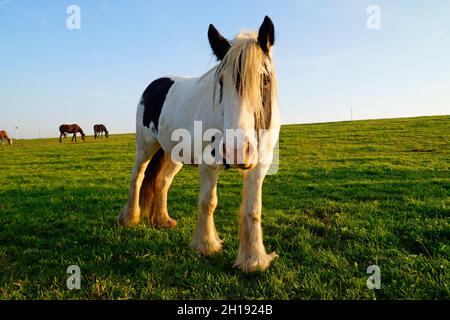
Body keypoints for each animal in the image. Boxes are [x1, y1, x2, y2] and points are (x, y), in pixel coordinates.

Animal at [119, 16, 282, 272]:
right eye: (221, 82)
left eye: (264, 80)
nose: (236, 151)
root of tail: (155, 84)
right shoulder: (209, 163)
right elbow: (208, 202)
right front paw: (206, 245)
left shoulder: (260, 166)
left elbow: (253, 209)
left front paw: (254, 259)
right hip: (145, 146)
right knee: (138, 175)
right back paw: (129, 218)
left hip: (172, 154)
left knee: (161, 182)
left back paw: (162, 220)